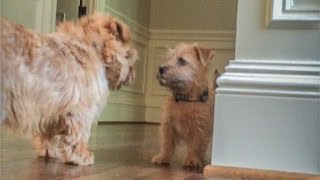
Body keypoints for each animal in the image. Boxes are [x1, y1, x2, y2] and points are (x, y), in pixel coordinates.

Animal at [0, 13, 138, 165]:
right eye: (130, 55)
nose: (133, 74)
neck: (93, 47)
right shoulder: (81, 110)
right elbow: (79, 135)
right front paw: (82, 155)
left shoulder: (53, 111)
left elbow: (48, 135)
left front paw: (49, 151)